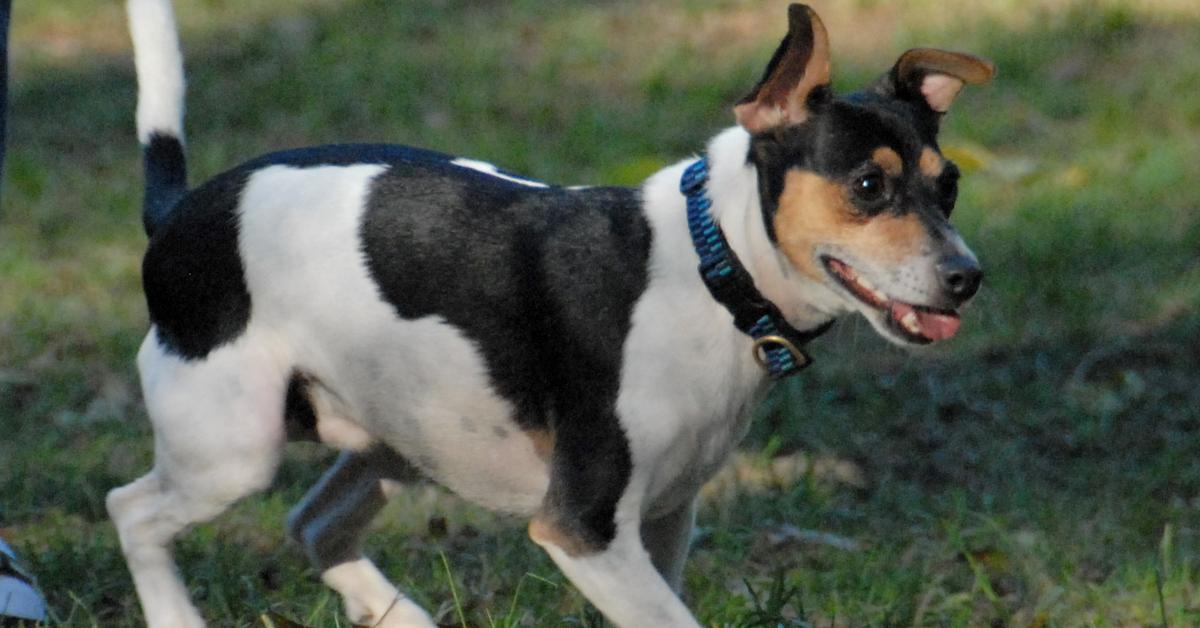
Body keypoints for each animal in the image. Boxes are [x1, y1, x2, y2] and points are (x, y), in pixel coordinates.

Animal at [110, 2, 993, 624]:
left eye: (948, 186)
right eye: (869, 187)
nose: (966, 278)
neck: (711, 269)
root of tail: (179, 212)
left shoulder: (664, 521)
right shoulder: (584, 530)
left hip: (399, 438)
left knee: (313, 523)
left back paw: (398, 616)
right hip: (234, 450)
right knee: (134, 512)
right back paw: (177, 616)